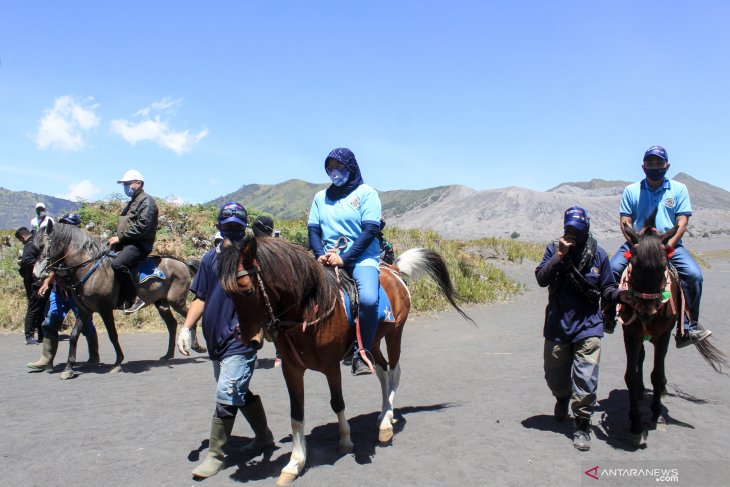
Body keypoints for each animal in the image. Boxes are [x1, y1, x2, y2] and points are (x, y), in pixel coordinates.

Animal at [216, 235, 474, 484]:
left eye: (247, 290)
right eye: (227, 293)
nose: (249, 340)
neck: (309, 310)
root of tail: (393, 269)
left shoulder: (331, 367)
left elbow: (337, 403)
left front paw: (346, 442)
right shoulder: (291, 369)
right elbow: (296, 414)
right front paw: (295, 463)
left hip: (395, 333)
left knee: (394, 372)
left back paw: (386, 421)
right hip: (371, 342)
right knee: (382, 371)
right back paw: (382, 413)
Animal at [616, 215, 724, 444]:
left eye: (663, 265)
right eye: (634, 264)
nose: (645, 312)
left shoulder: (663, 334)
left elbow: (657, 374)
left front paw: (656, 413)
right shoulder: (630, 334)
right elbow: (631, 375)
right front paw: (635, 422)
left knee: (660, 365)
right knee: (641, 359)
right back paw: (641, 391)